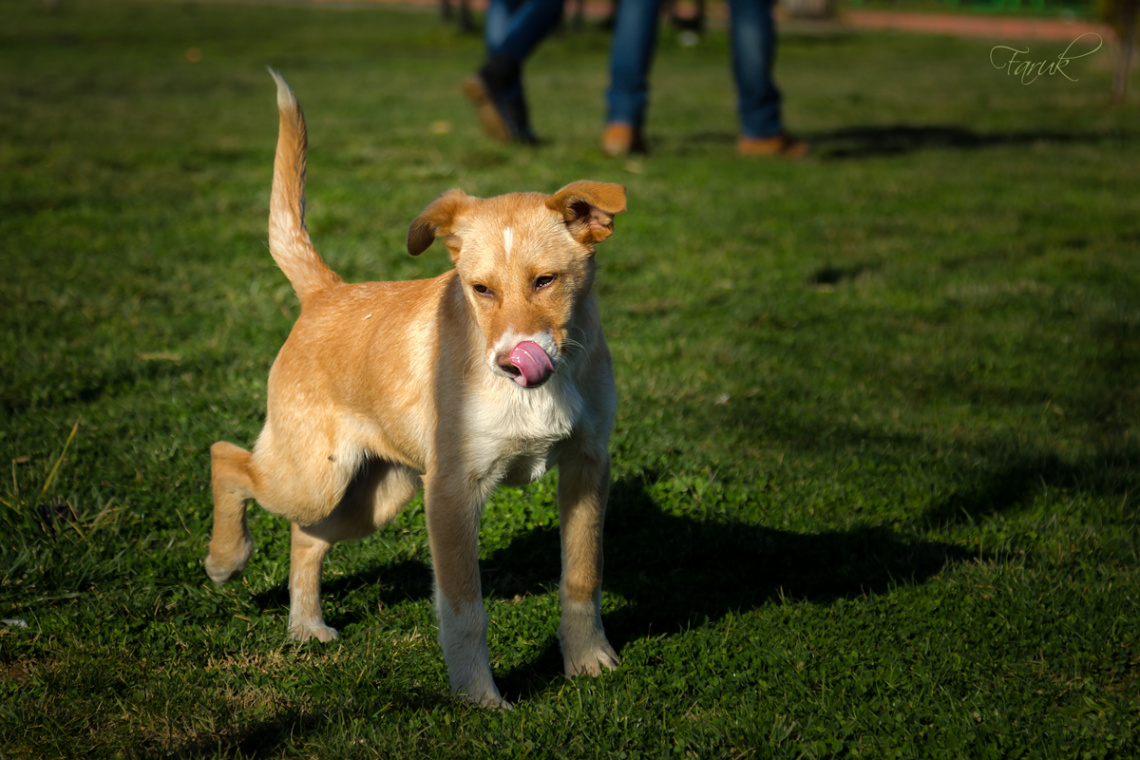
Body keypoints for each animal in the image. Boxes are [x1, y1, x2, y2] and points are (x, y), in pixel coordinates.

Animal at [207, 71, 633, 706]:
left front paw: (588, 660)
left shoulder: (587, 465)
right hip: (313, 476)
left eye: (546, 281)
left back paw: (305, 626)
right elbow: (464, 609)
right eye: (480, 289)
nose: (512, 363)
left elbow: (582, 575)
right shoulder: (453, 491)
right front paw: (480, 698)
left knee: (306, 537)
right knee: (228, 459)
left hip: (377, 494)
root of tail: (325, 293)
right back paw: (225, 559)